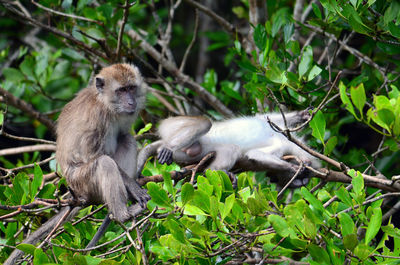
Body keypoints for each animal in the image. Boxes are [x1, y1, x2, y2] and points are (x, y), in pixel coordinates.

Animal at [56, 63, 150, 222]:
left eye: (131, 88)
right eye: (121, 90)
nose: (131, 102)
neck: (106, 104)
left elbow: (123, 135)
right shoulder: (96, 117)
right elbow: (94, 156)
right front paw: (134, 187)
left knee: (127, 139)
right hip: (81, 182)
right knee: (105, 163)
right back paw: (123, 215)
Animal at [138, 109, 322, 186]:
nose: (272, 179)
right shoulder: (282, 143)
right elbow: (262, 124)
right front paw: (295, 168)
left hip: (185, 155)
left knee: (227, 151)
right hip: (170, 125)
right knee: (206, 124)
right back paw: (167, 148)